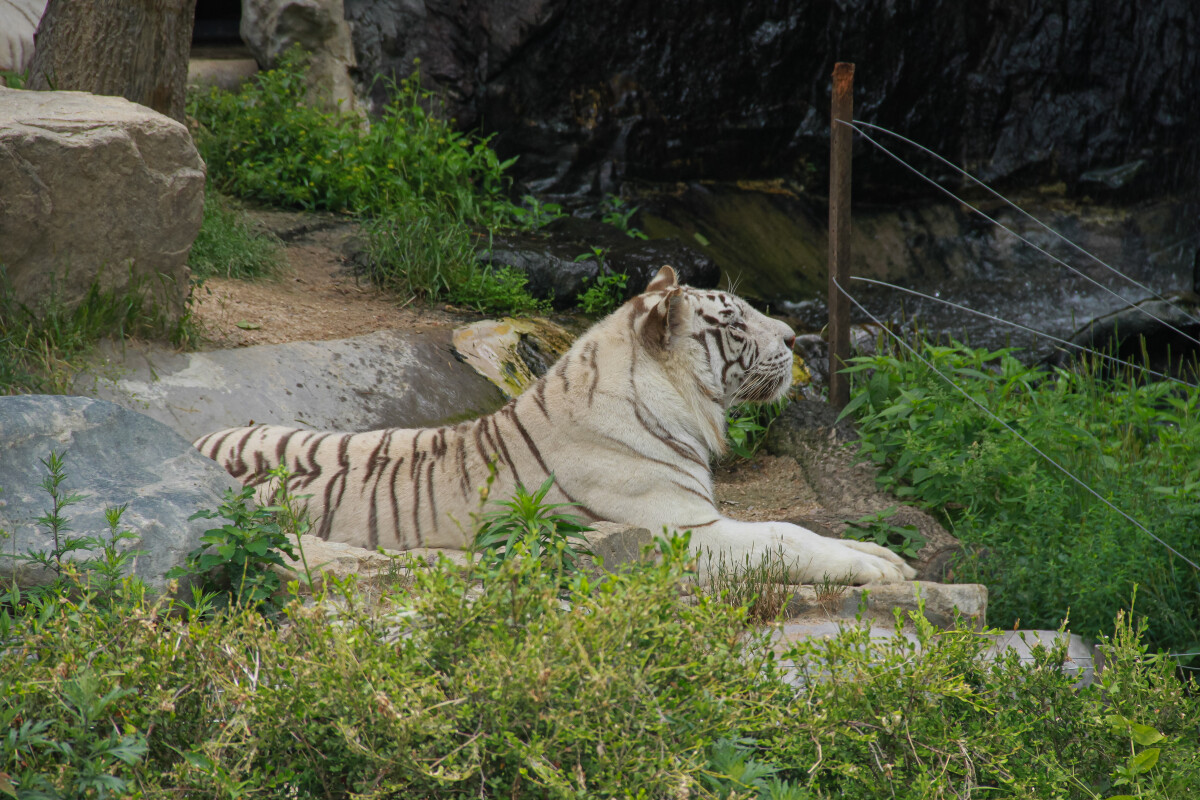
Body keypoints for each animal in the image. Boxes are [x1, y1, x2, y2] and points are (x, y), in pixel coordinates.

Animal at [194, 266, 907, 585]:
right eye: (734, 323)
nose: (792, 337)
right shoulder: (684, 531)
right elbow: (785, 540)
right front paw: (880, 570)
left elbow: (794, 527)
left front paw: (883, 555)